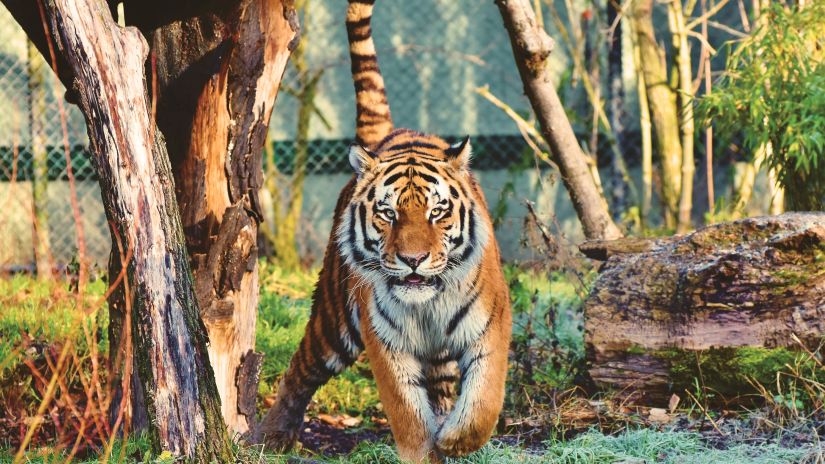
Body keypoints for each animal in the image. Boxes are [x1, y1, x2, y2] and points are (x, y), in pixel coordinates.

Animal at [258, 0, 512, 458]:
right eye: (388, 214)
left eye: (437, 212)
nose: (413, 260)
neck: (428, 305)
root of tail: (391, 133)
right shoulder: (386, 342)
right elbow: (407, 415)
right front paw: (425, 449)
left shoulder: (491, 325)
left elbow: (483, 402)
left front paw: (453, 440)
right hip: (333, 320)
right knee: (300, 371)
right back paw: (269, 436)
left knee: (443, 386)